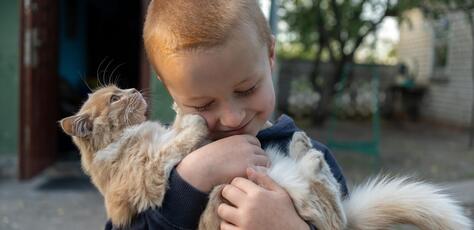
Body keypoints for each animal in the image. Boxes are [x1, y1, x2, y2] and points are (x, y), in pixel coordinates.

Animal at [61, 85, 472, 229]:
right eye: (115, 98)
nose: (134, 90)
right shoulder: (148, 175)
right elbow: (178, 144)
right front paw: (193, 118)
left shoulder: (163, 139)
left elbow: (178, 131)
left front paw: (183, 110)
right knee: (329, 211)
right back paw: (307, 155)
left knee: (333, 207)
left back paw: (303, 148)